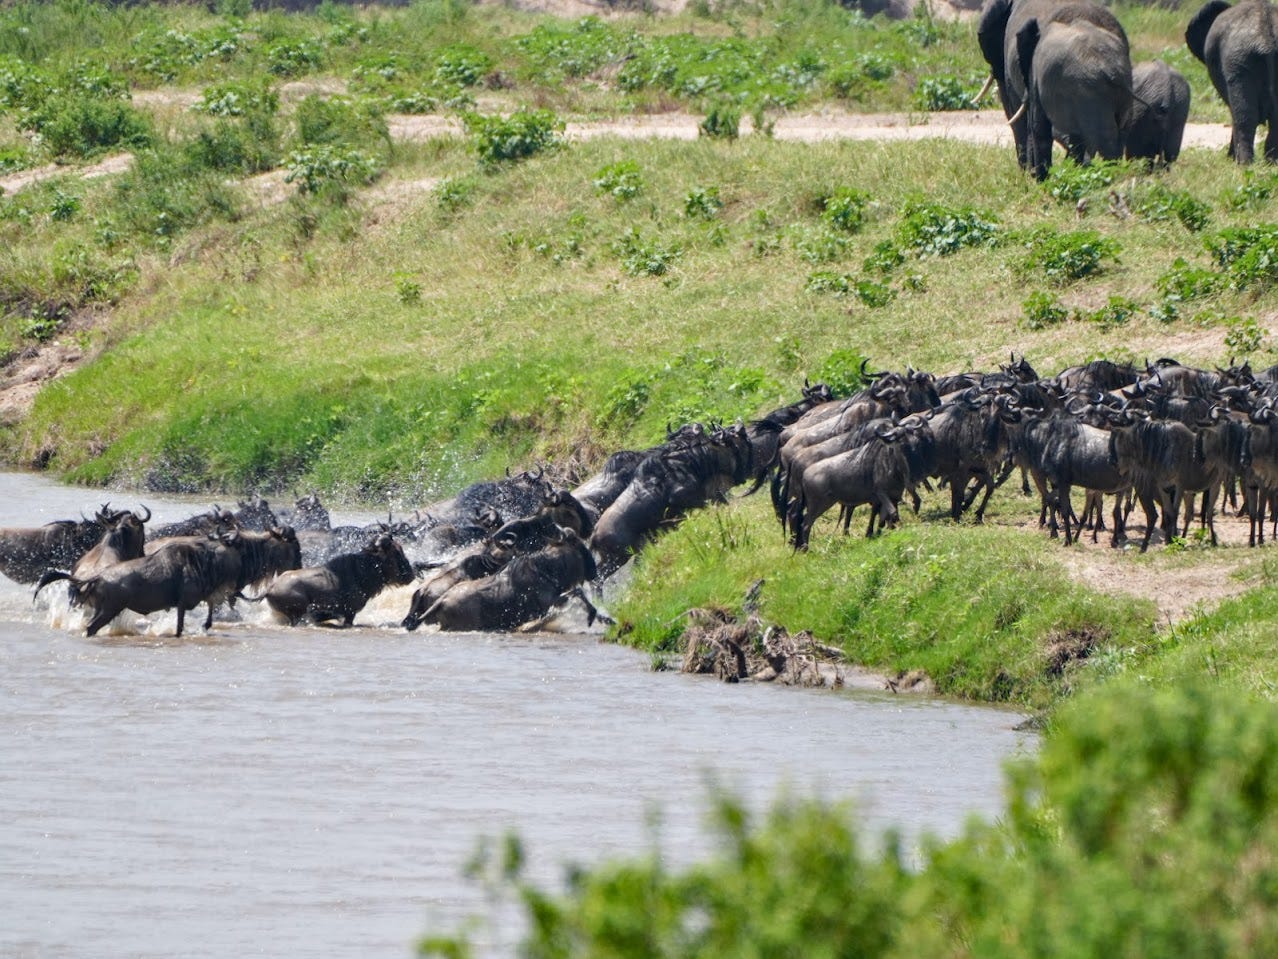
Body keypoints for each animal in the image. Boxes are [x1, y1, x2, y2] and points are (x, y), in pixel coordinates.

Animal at [1012, 0, 1134, 180]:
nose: (1031, 175)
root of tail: (1113, 72)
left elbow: (1039, 128)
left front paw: (1043, 182)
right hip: (1119, 92)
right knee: (1120, 131)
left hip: (1090, 92)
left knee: (1104, 138)